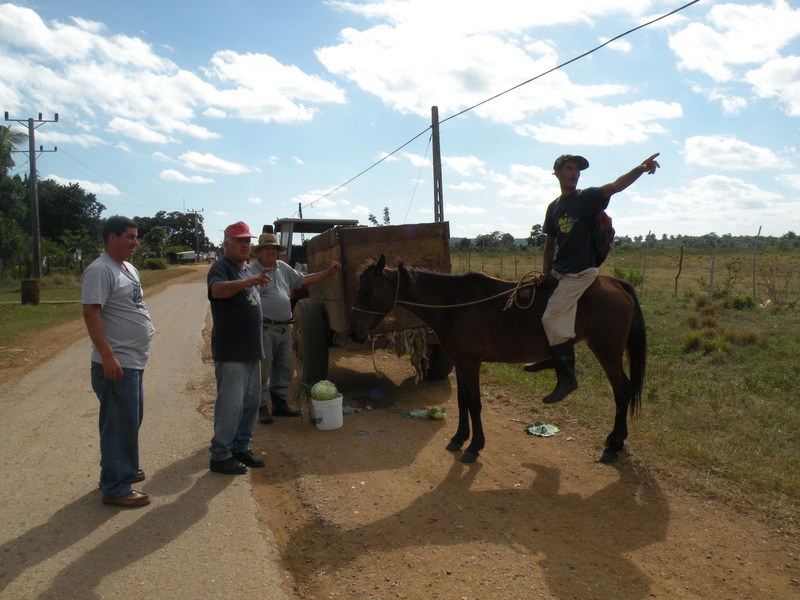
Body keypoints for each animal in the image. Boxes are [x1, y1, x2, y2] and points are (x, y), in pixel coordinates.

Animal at [346, 255, 648, 466]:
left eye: (367, 292)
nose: (353, 333)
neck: (452, 303)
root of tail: (615, 283)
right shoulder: (461, 362)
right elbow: (463, 402)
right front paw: (459, 438)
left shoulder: (471, 362)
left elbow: (475, 404)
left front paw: (475, 445)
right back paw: (615, 441)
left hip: (606, 351)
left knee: (622, 392)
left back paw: (613, 445)